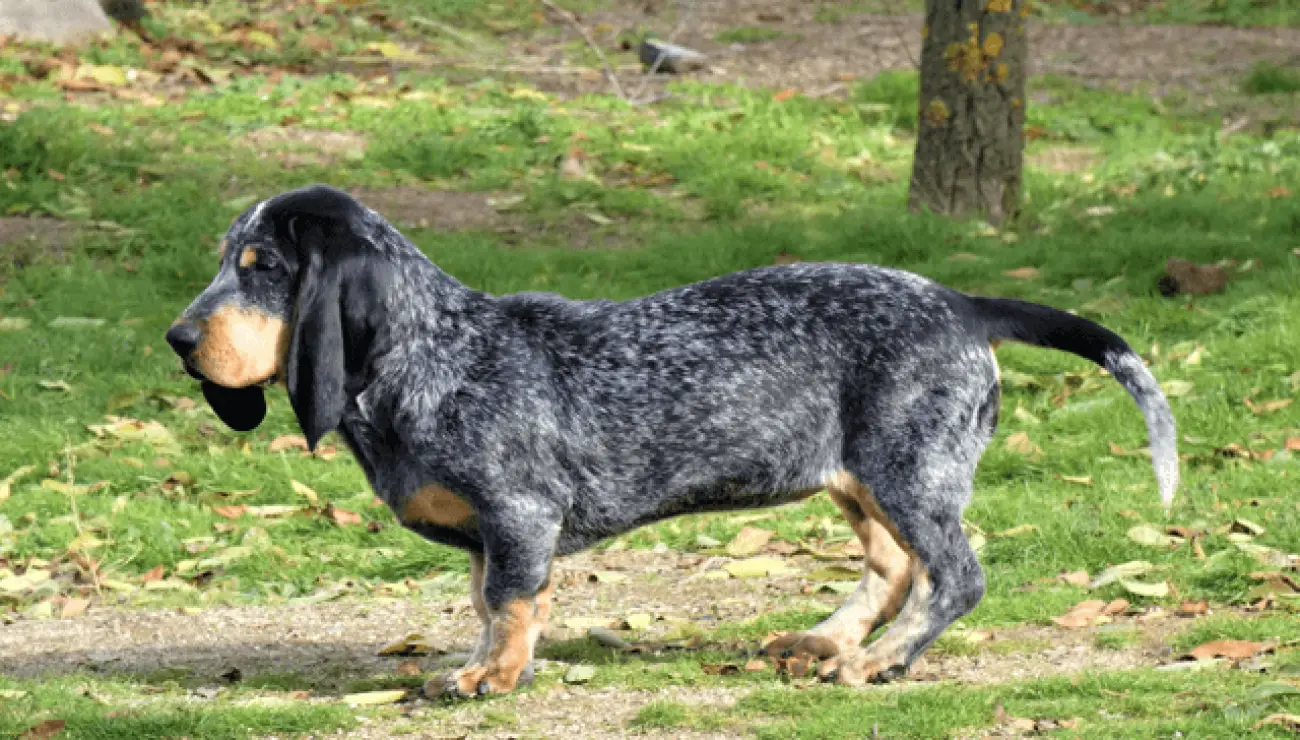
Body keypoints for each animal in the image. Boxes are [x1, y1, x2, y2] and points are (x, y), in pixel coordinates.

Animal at [165, 184, 1180, 697]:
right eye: (225, 260)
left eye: (263, 266)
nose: (177, 340)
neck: (430, 350)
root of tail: (962, 304)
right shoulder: (491, 531)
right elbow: (483, 600)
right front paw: (479, 662)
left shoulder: (520, 516)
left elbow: (509, 603)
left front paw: (495, 677)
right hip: (859, 475)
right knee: (895, 569)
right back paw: (826, 640)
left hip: (908, 467)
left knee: (954, 578)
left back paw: (878, 662)